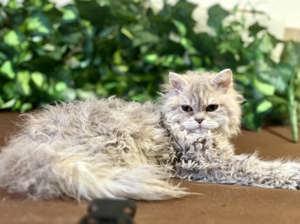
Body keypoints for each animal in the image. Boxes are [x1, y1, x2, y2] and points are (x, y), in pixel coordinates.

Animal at [0, 68, 300, 201]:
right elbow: (261, 168)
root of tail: (28, 145)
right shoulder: (207, 164)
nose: (199, 120)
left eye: (212, 107)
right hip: (117, 145)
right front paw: (292, 174)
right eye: (187, 108)